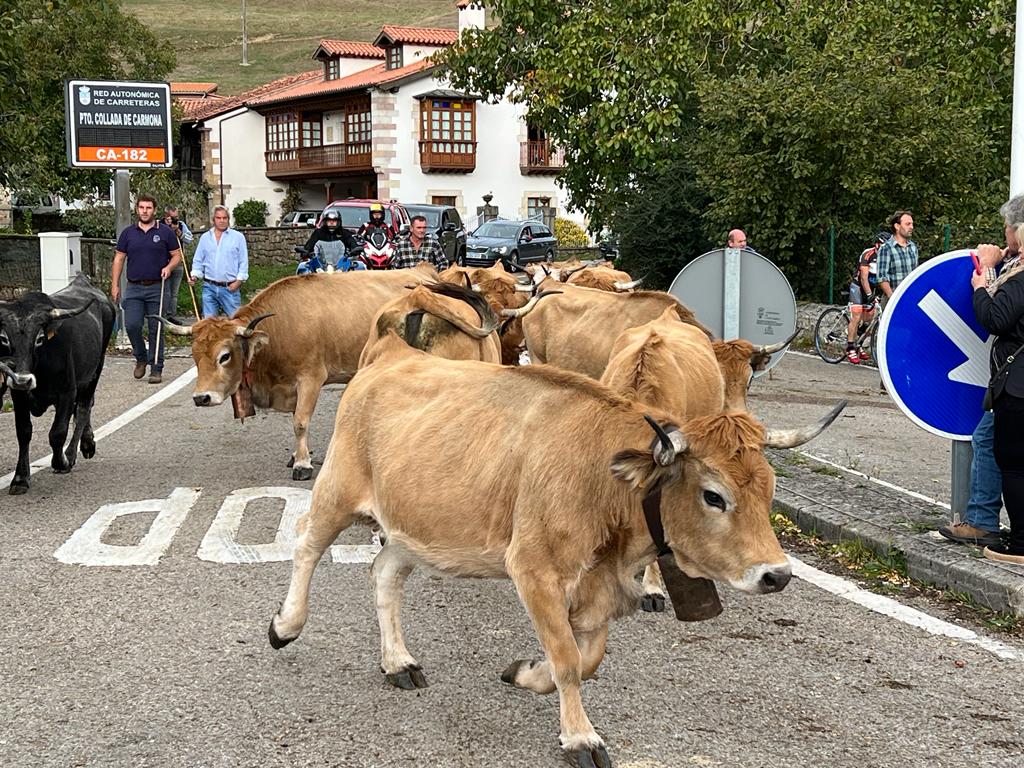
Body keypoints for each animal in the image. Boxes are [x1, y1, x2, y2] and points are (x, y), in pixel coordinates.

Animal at [0, 274, 115, 495]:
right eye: (4, 339)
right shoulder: (18, 395)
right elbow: (24, 432)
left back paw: (76, 451)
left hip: (95, 370)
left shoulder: (67, 392)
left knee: (84, 408)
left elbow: (57, 432)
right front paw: (20, 478)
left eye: (39, 338)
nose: (22, 379)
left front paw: (61, 461)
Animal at [158, 266, 436, 481]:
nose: (201, 398)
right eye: (195, 356)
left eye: (224, 356)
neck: (280, 329)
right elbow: (296, 419)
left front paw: (303, 464)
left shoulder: (310, 378)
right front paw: (297, 456)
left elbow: (300, 422)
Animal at [268, 339, 843, 768]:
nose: (776, 575)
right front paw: (580, 738)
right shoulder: (536, 569)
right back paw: (285, 625)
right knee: (305, 543)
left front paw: (525, 672)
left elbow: (587, 658)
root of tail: (392, 353)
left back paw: (398, 661)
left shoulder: (599, 584)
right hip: (337, 490)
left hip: (414, 528)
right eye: (714, 495)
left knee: (385, 573)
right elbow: (568, 659)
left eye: (769, 490)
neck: (604, 477)